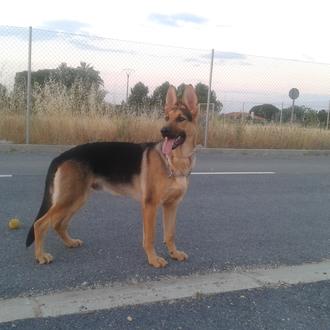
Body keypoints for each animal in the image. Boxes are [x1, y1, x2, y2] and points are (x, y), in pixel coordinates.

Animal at [25, 85, 199, 268]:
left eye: (181, 119)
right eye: (167, 118)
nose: (163, 131)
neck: (175, 161)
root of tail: (61, 156)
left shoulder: (171, 206)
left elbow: (170, 234)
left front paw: (174, 253)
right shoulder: (150, 206)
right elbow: (149, 237)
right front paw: (153, 259)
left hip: (77, 199)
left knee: (59, 224)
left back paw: (70, 242)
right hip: (69, 199)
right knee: (40, 224)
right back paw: (40, 256)